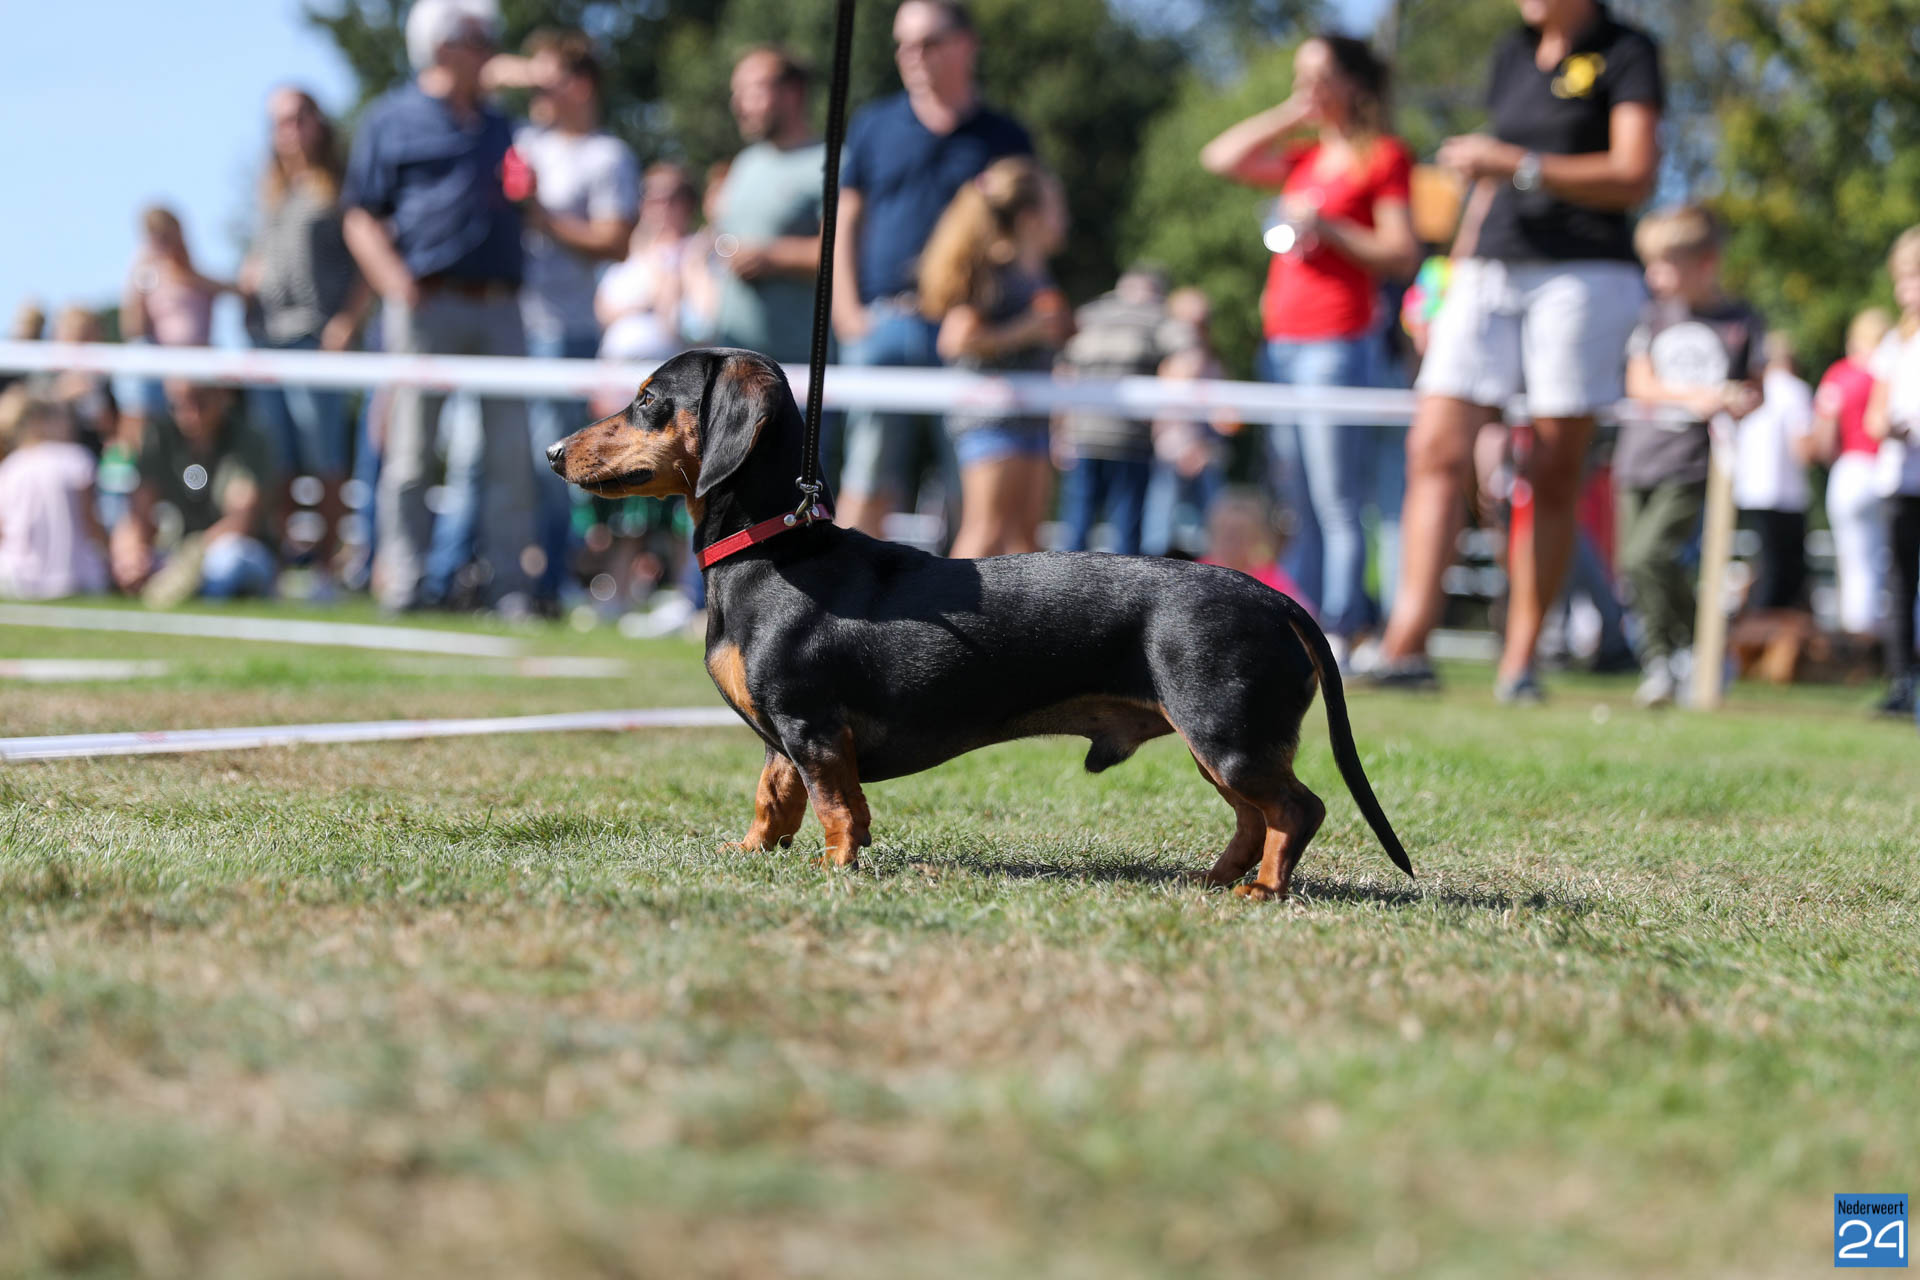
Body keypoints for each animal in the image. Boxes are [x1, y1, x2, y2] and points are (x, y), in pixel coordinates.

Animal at [548, 348, 1411, 900]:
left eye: (648, 398)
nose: (553, 451)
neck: (773, 548)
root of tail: (1271, 598)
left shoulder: (812, 725)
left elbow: (835, 805)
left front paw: (836, 867)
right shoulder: (783, 736)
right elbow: (774, 796)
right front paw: (756, 852)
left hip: (1226, 735)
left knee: (1296, 811)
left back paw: (1261, 891)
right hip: (1221, 745)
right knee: (1254, 817)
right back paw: (1218, 877)